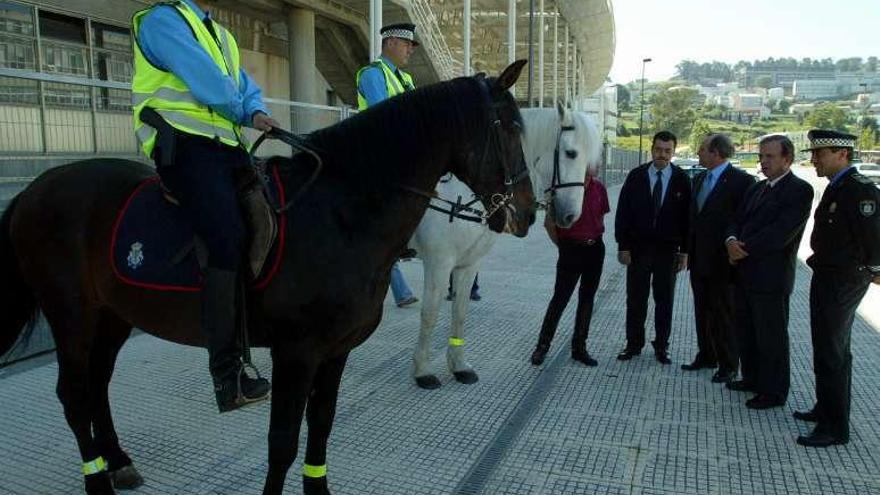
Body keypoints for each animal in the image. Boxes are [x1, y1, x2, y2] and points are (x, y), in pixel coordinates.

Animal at [0, 60, 532, 494]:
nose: (527, 213)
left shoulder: (335, 351)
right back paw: (97, 480)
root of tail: (33, 190)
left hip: (111, 315)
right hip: (71, 316)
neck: (341, 212)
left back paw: (118, 462)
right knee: (73, 394)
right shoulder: (295, 352)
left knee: (96, 387)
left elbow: (321, 427)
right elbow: (283, 441)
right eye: (508, 128)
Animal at [408, 104, 600, 390]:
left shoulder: (469, 264)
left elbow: (460, 312)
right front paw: (422, 371)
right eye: (571, 153)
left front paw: (459, 366)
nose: (571, 216)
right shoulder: (439, 262)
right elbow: (430, 314)